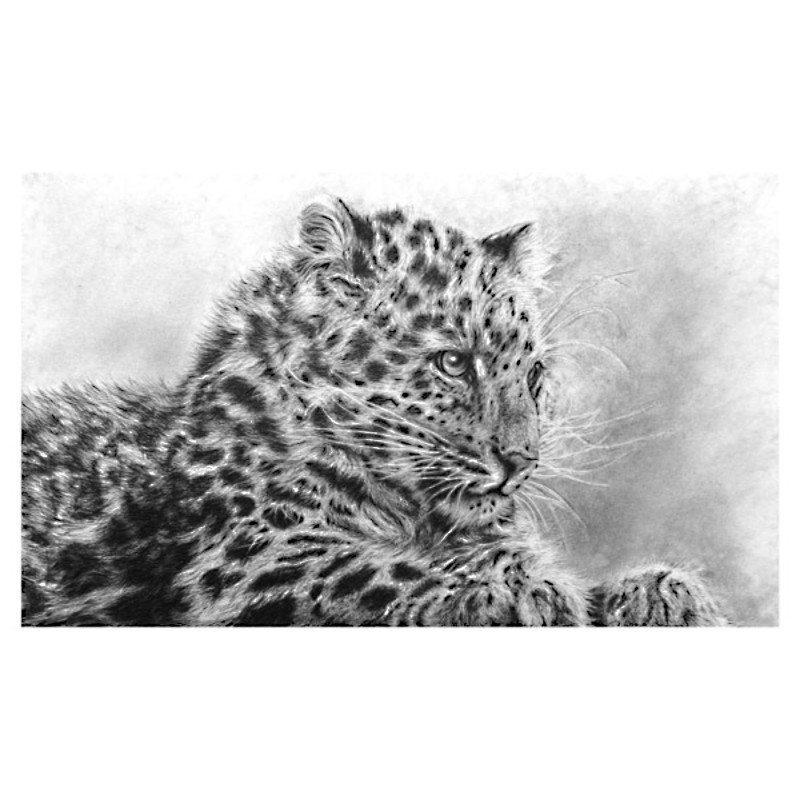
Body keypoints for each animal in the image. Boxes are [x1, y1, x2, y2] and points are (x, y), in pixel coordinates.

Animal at [21, 197, 730, 626]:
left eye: (533, 377)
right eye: (454, 363)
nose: (521, 461)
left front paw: (660, 590)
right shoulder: (250, 556)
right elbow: (368, 568)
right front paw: (518, 591)